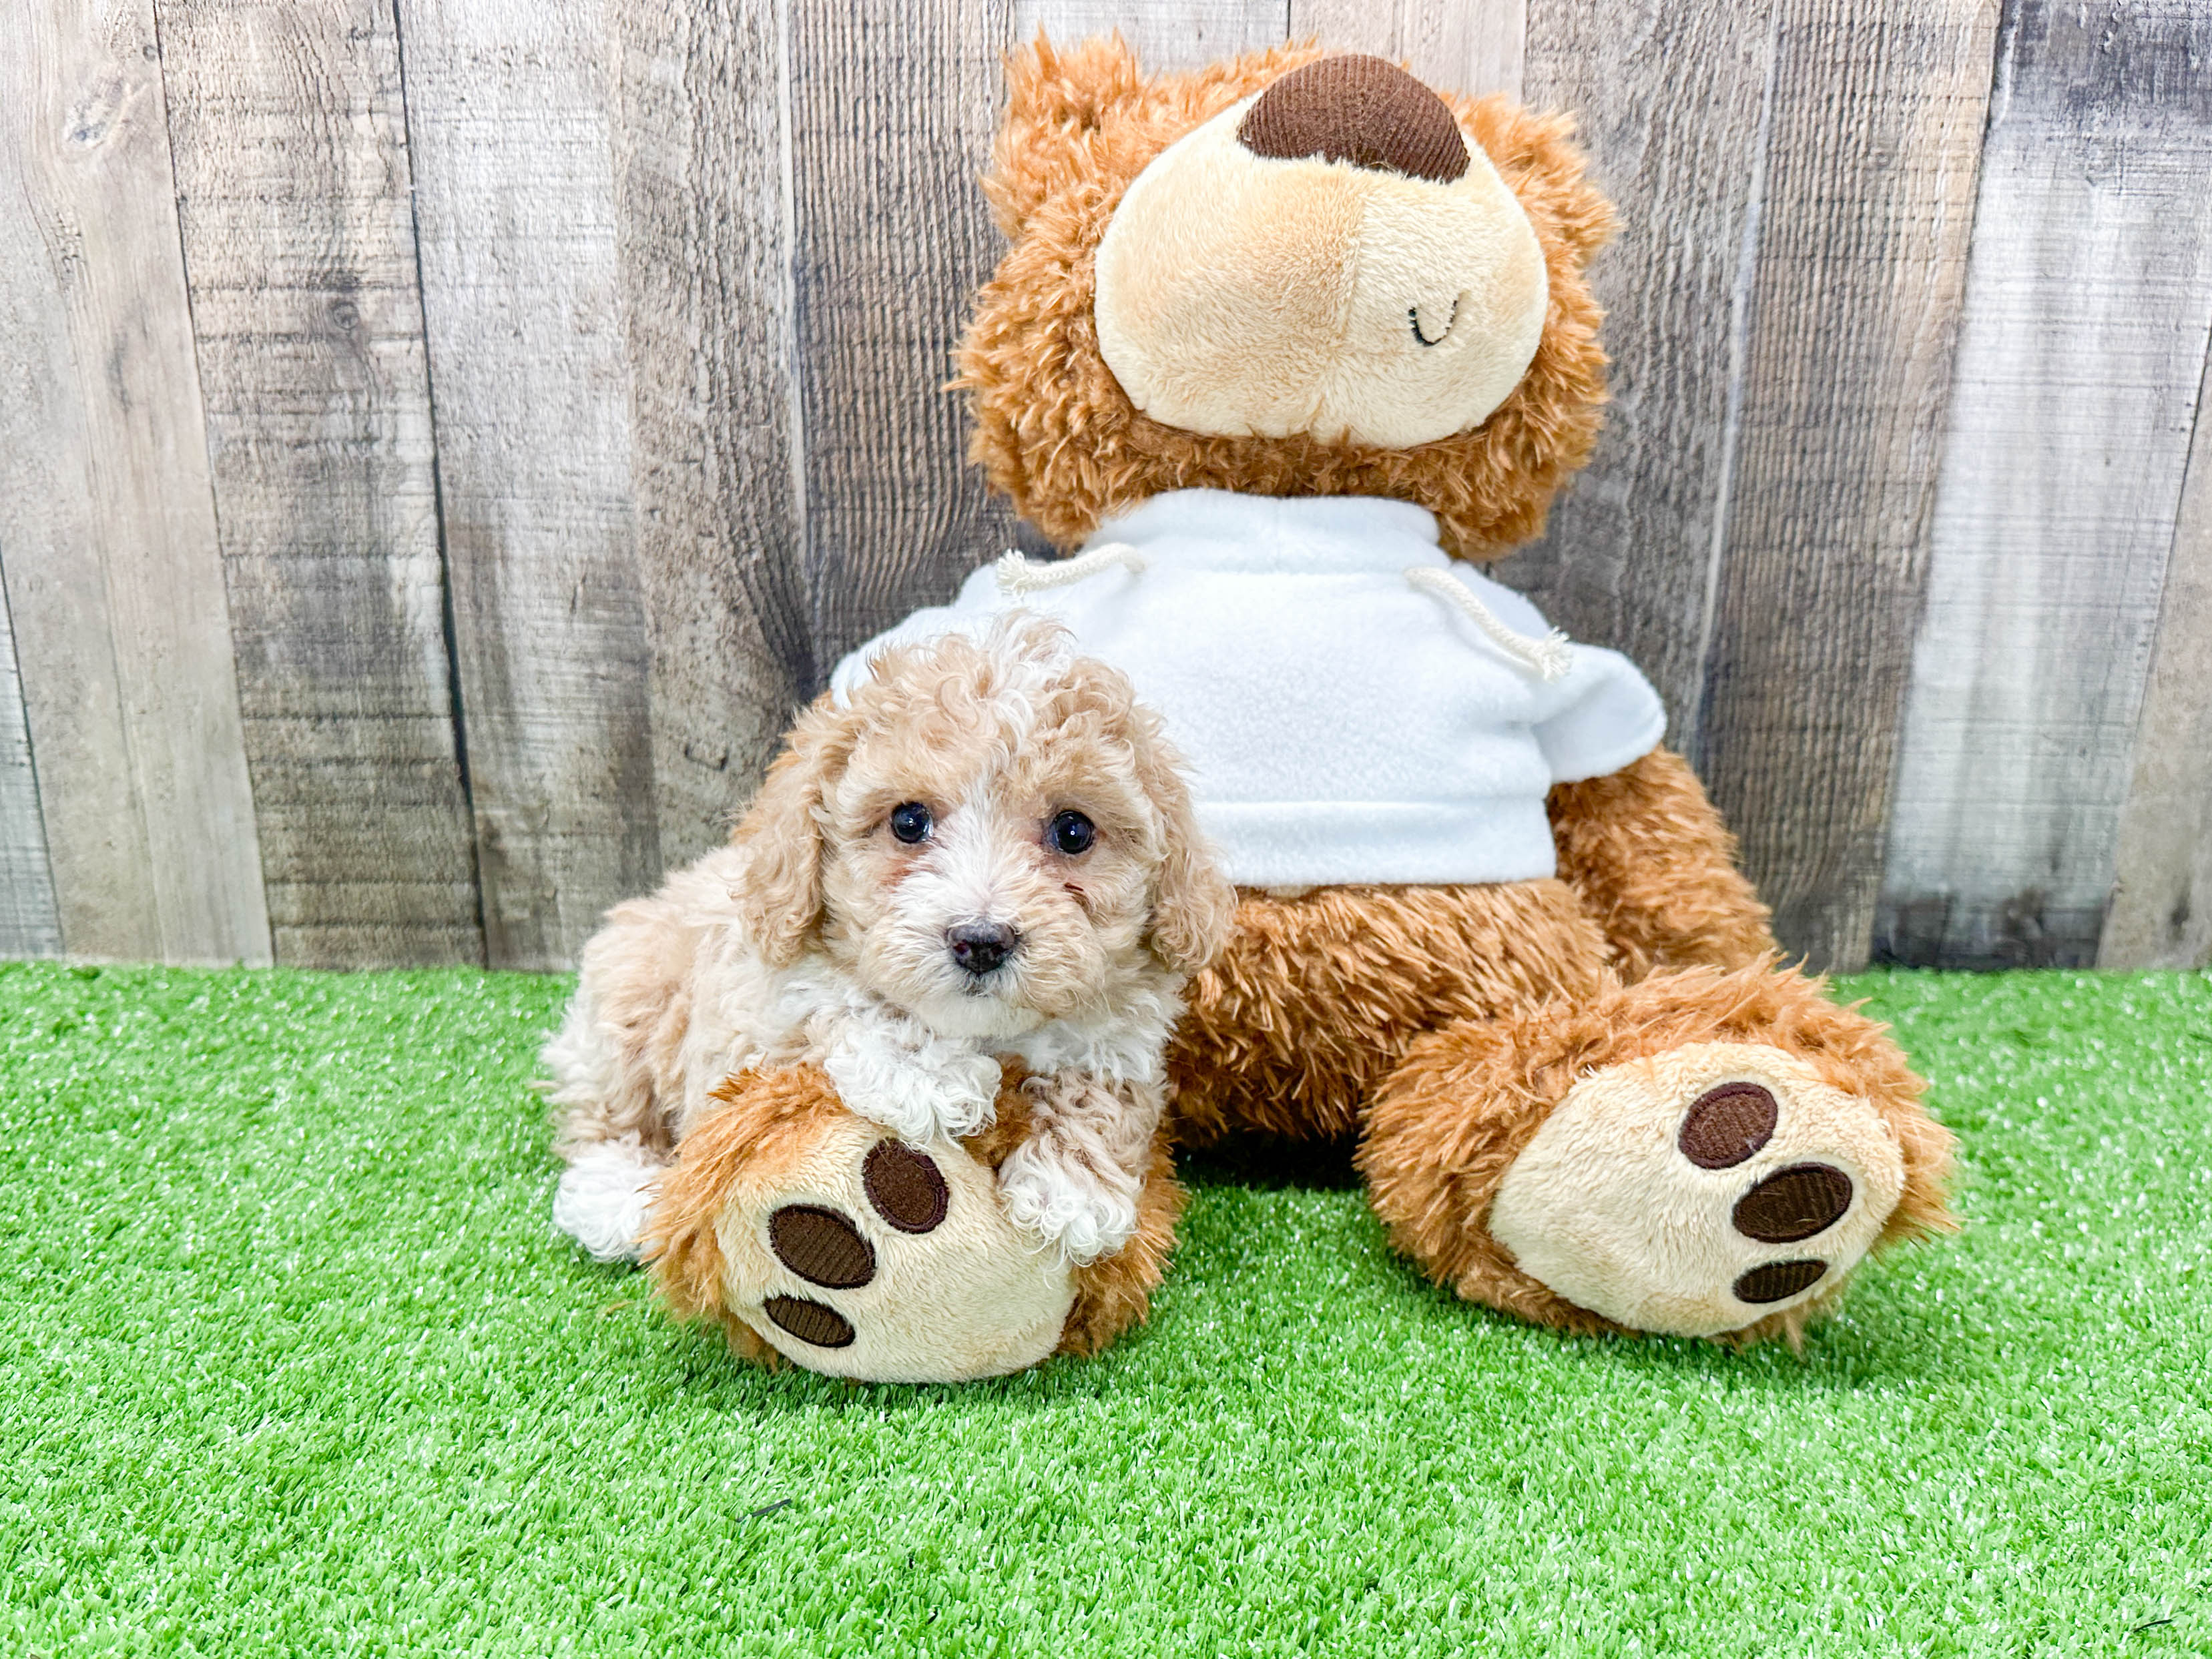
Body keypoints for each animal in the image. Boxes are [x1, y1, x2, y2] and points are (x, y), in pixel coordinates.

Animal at [535, 619, 1229, 1274]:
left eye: (1074, 831)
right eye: (908, 821)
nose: (981, 941)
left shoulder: (1121, 1035)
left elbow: (1103, 1087)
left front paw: (1071, 1188)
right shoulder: (756, 1008)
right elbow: (837, 1001)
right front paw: (930, 1074)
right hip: (630, 996)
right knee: (607, 1113)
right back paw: (616, 1197)